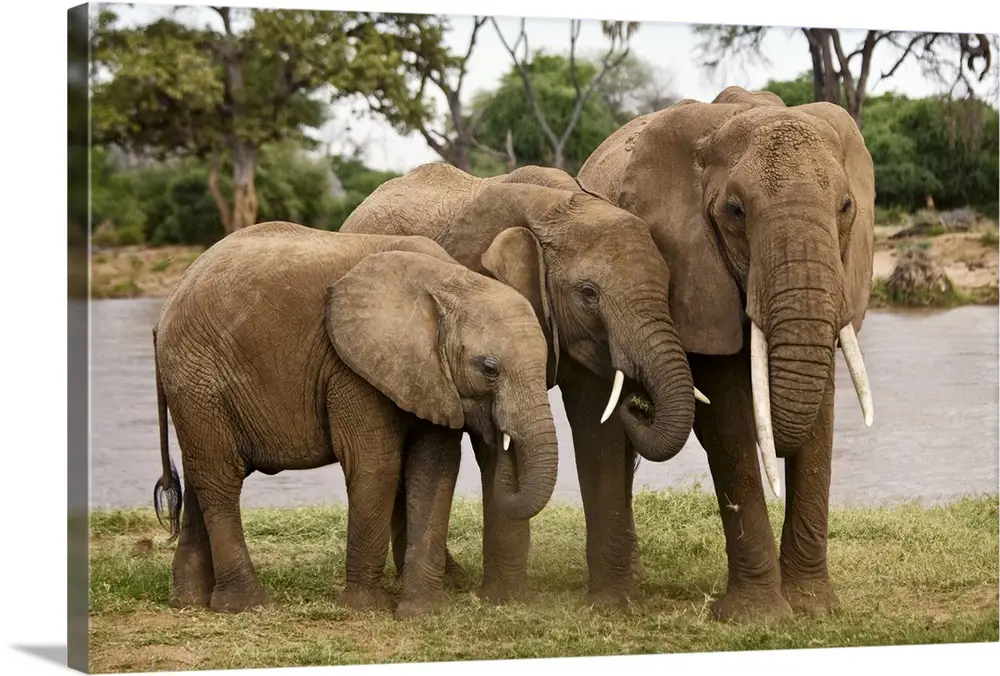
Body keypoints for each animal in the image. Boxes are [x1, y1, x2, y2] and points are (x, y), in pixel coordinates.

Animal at [149, 220, 560, 616]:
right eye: (490, 368)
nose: (502, 438)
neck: (451, 281)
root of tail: (169, 302)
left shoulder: (431, 378)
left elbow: (435, 468)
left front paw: (422, 611)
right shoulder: (350, 367)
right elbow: (375, 464)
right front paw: (365, 607)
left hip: (196, 384)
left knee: (201, 474)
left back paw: (189, 601)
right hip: (197, 374)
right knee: (221, 476)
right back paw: (249, 605)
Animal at [344, 164, 704, 608]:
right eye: (588, 294)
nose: (638, 405)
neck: (557, 209)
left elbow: (595, 427)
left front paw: (614, 604)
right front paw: (506, 599)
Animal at [580, 87, 876, 620]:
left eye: (845, 206)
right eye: (735, 212)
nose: (639, 404)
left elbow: (821, 415)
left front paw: (814, 608)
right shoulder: (692, 271)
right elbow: (727, 421)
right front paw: (759, 616)